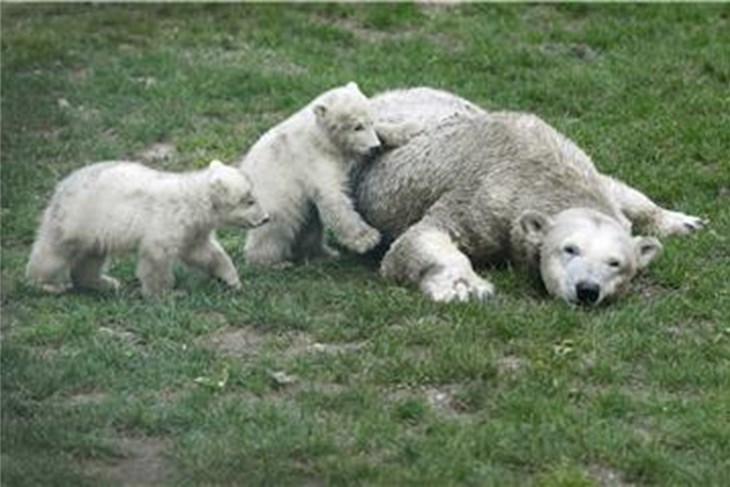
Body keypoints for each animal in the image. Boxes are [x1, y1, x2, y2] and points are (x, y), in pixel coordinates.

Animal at [352, 88, 704, 304]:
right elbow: (421, 237)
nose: (587, 290)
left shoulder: (587, 170)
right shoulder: (486, 199)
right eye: (570, 249)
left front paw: (684, 222)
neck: (542, 174)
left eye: (615, 263)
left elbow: (621, 189)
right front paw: (466, 286)